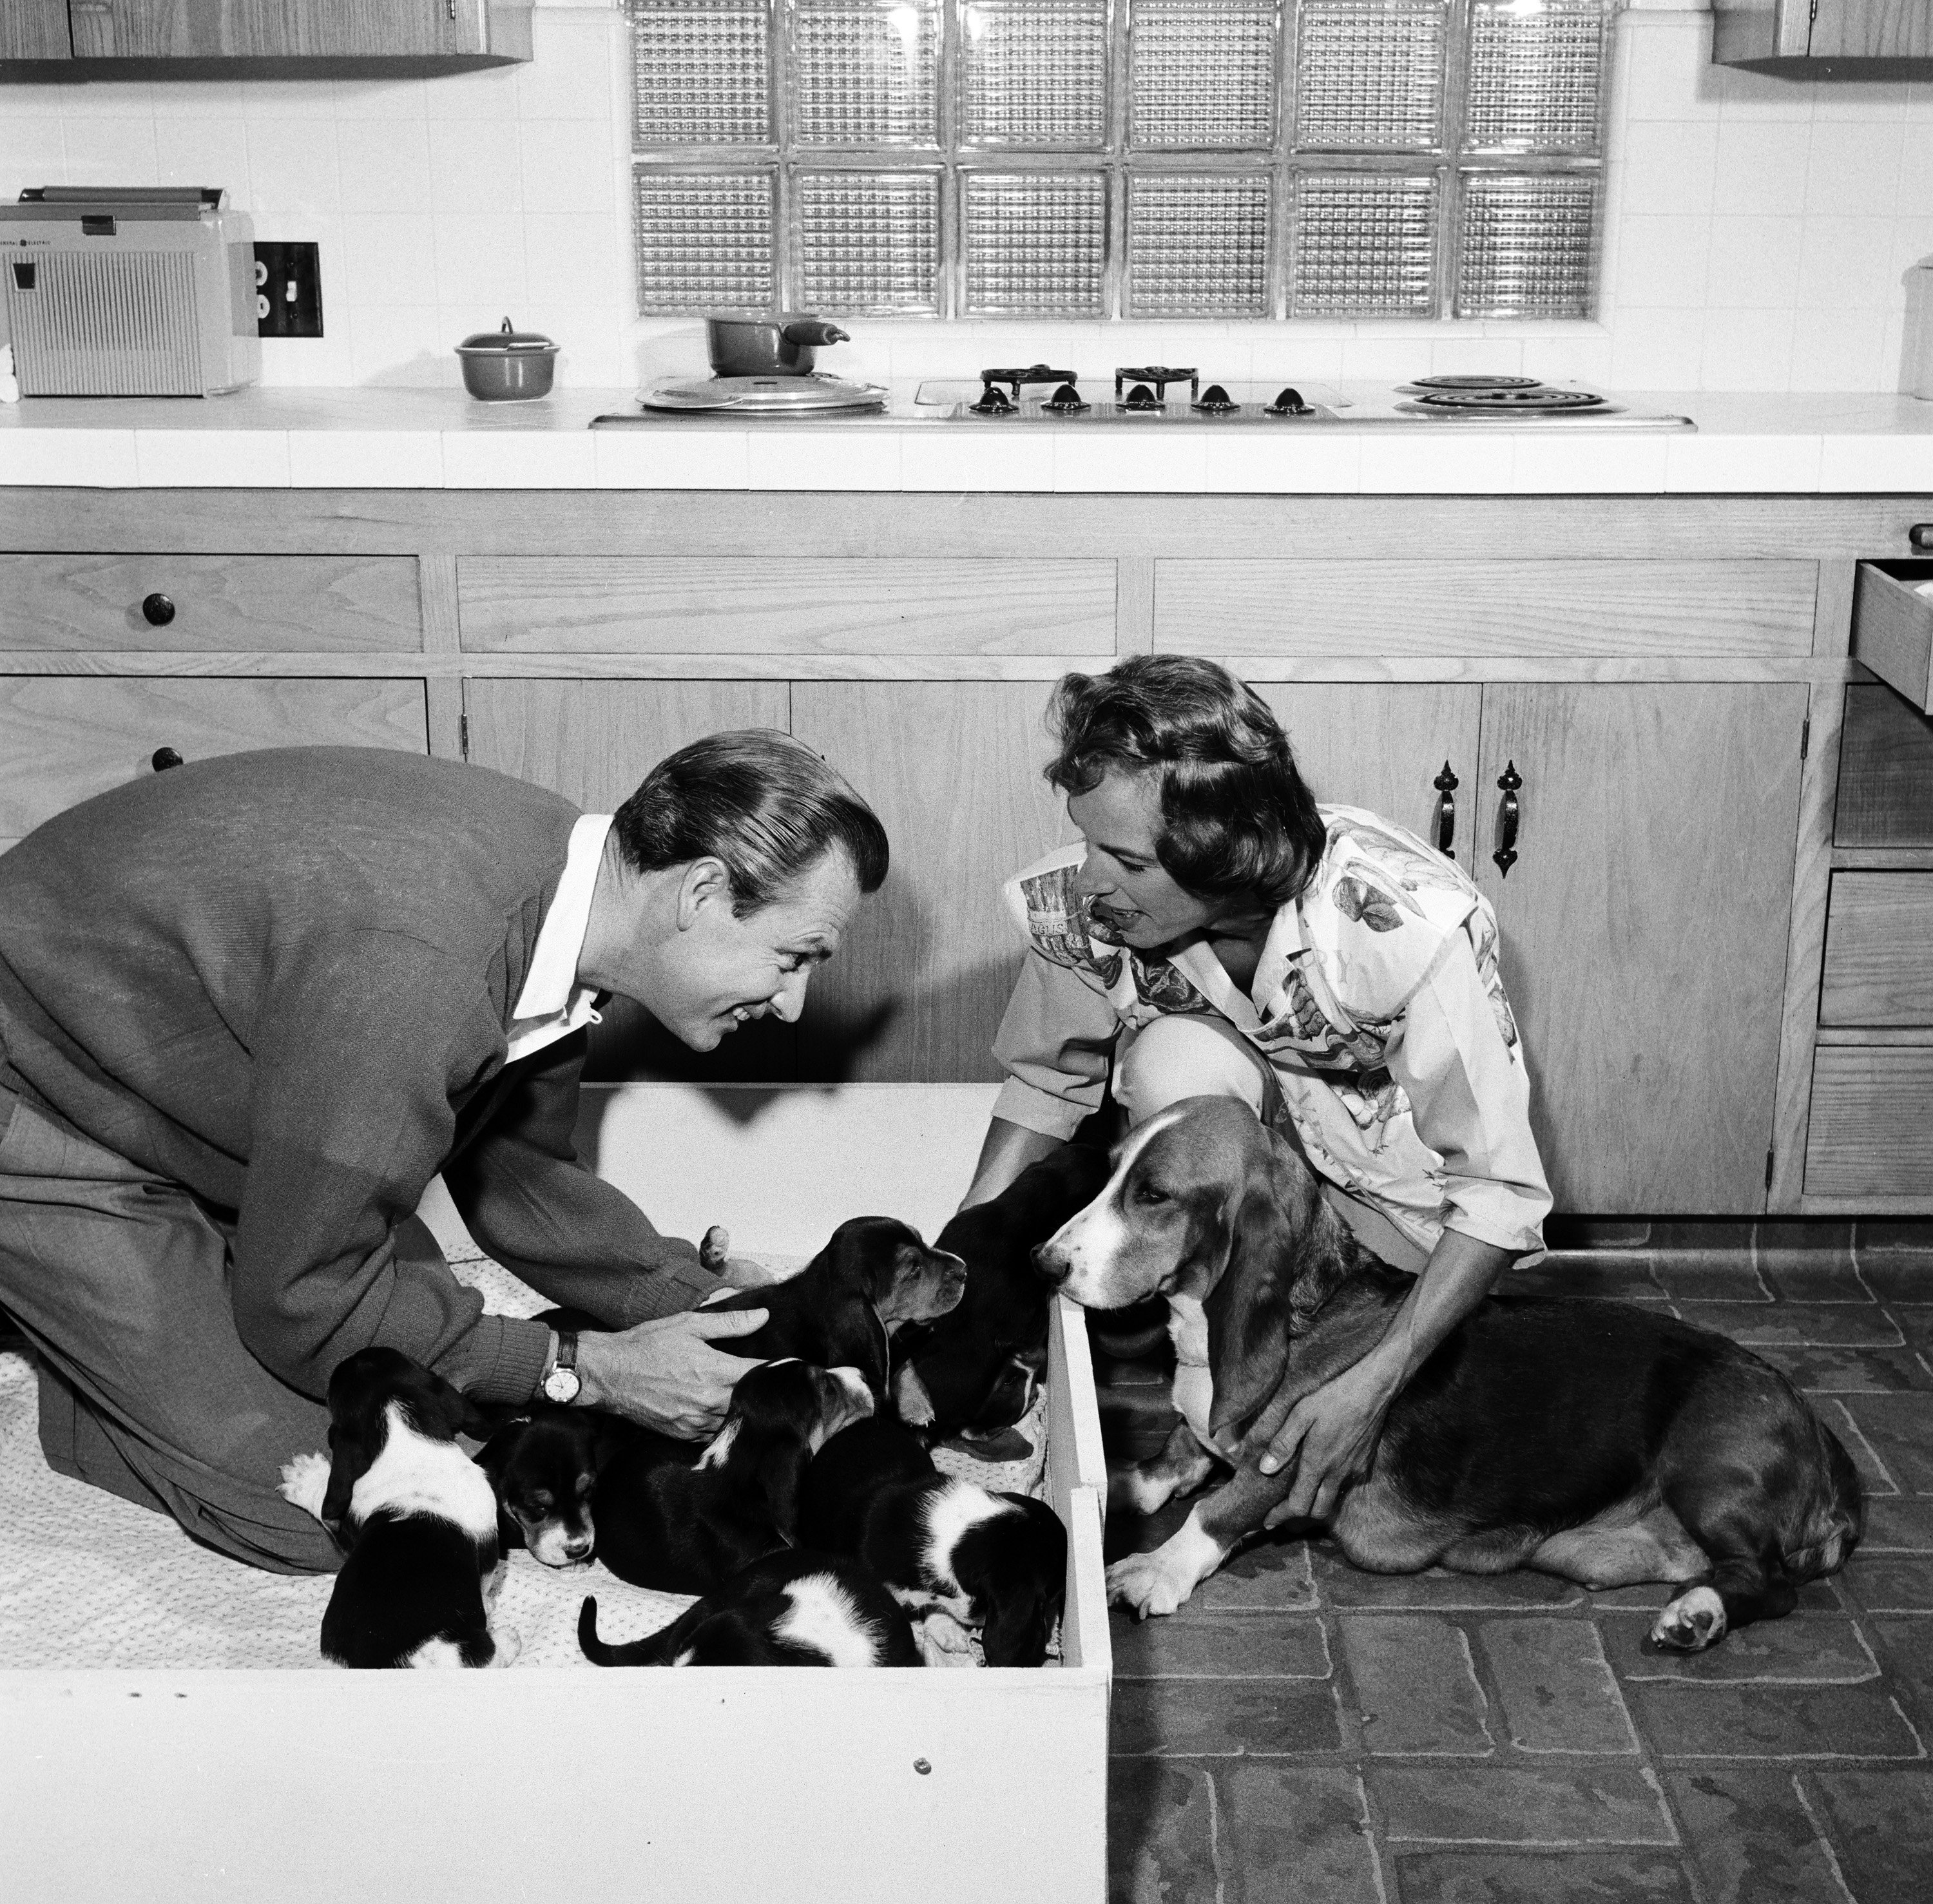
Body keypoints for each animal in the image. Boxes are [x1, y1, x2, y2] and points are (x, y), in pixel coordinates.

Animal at [1036, 1098, 1863, 1647]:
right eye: (1110, 1173)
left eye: (1153, 1195)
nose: (1043, 1263)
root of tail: (1827, 1444)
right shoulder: (1201, 1436)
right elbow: (1175, 1455)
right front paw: (1123, 1481)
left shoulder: (1291, 1461)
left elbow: (1219, 1509)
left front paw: (1156, 1569)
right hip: (1595, 1546)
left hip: (1707, 1468)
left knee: (1768, 1585)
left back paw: (1699, 1616)